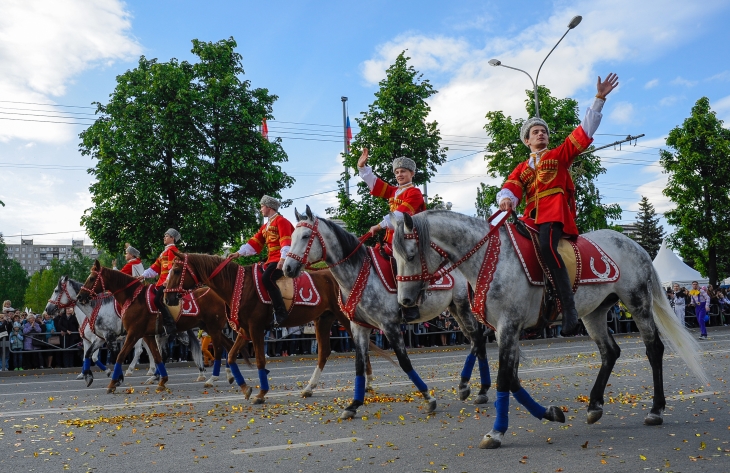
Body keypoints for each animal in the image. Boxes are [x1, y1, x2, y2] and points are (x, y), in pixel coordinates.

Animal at [78, 260, 230, 392]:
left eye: (92, 278)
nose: (80, 296)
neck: (133, 298)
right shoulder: (147, 335)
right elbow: (157, 356)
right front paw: (162, 380)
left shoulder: (132, 333)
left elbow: (120, 355)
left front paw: (113, 382)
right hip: (209, 327)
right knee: (228, 344)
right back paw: (229, 375)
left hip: (212, 328)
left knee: (218, 349)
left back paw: (212, 378)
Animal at [165, 249, 370, 404]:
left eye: (176, 270)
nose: (168, 298)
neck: (239, 286)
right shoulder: (244, 330)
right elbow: (231, 355)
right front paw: (245, 388)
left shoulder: (255, 328)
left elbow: (259, 360)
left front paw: (261, 393)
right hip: (324, 319)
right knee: (324, 352)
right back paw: (309, 388)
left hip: (344, 319)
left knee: (361, 347)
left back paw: (367, 384)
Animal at [282, 205, 492, 418]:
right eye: (292, 236)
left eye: (306, 236)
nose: (288, 268)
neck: (359, 275)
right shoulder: (359, 327)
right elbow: (359, 364)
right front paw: (353, 404)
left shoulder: (389, 325)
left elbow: (404, 362)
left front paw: (429, 398)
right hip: (454, 309)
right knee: (475, 340)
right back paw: (472, 388)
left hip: (463, 305)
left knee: (477, 338)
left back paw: (475, 388)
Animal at [392, 211, 704, 450]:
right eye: (393, 256)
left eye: (411, 254)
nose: (404, 302)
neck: (488, 259)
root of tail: (635, 244)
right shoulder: (505, 331)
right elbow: (513, 379)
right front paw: (550, 413)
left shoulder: (508, 326)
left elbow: (505, 379)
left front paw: (496, 432)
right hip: (595, 312)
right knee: (610, 352)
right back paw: (594, 405)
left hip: (637, 302)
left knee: (654, 348)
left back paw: (655, 409)